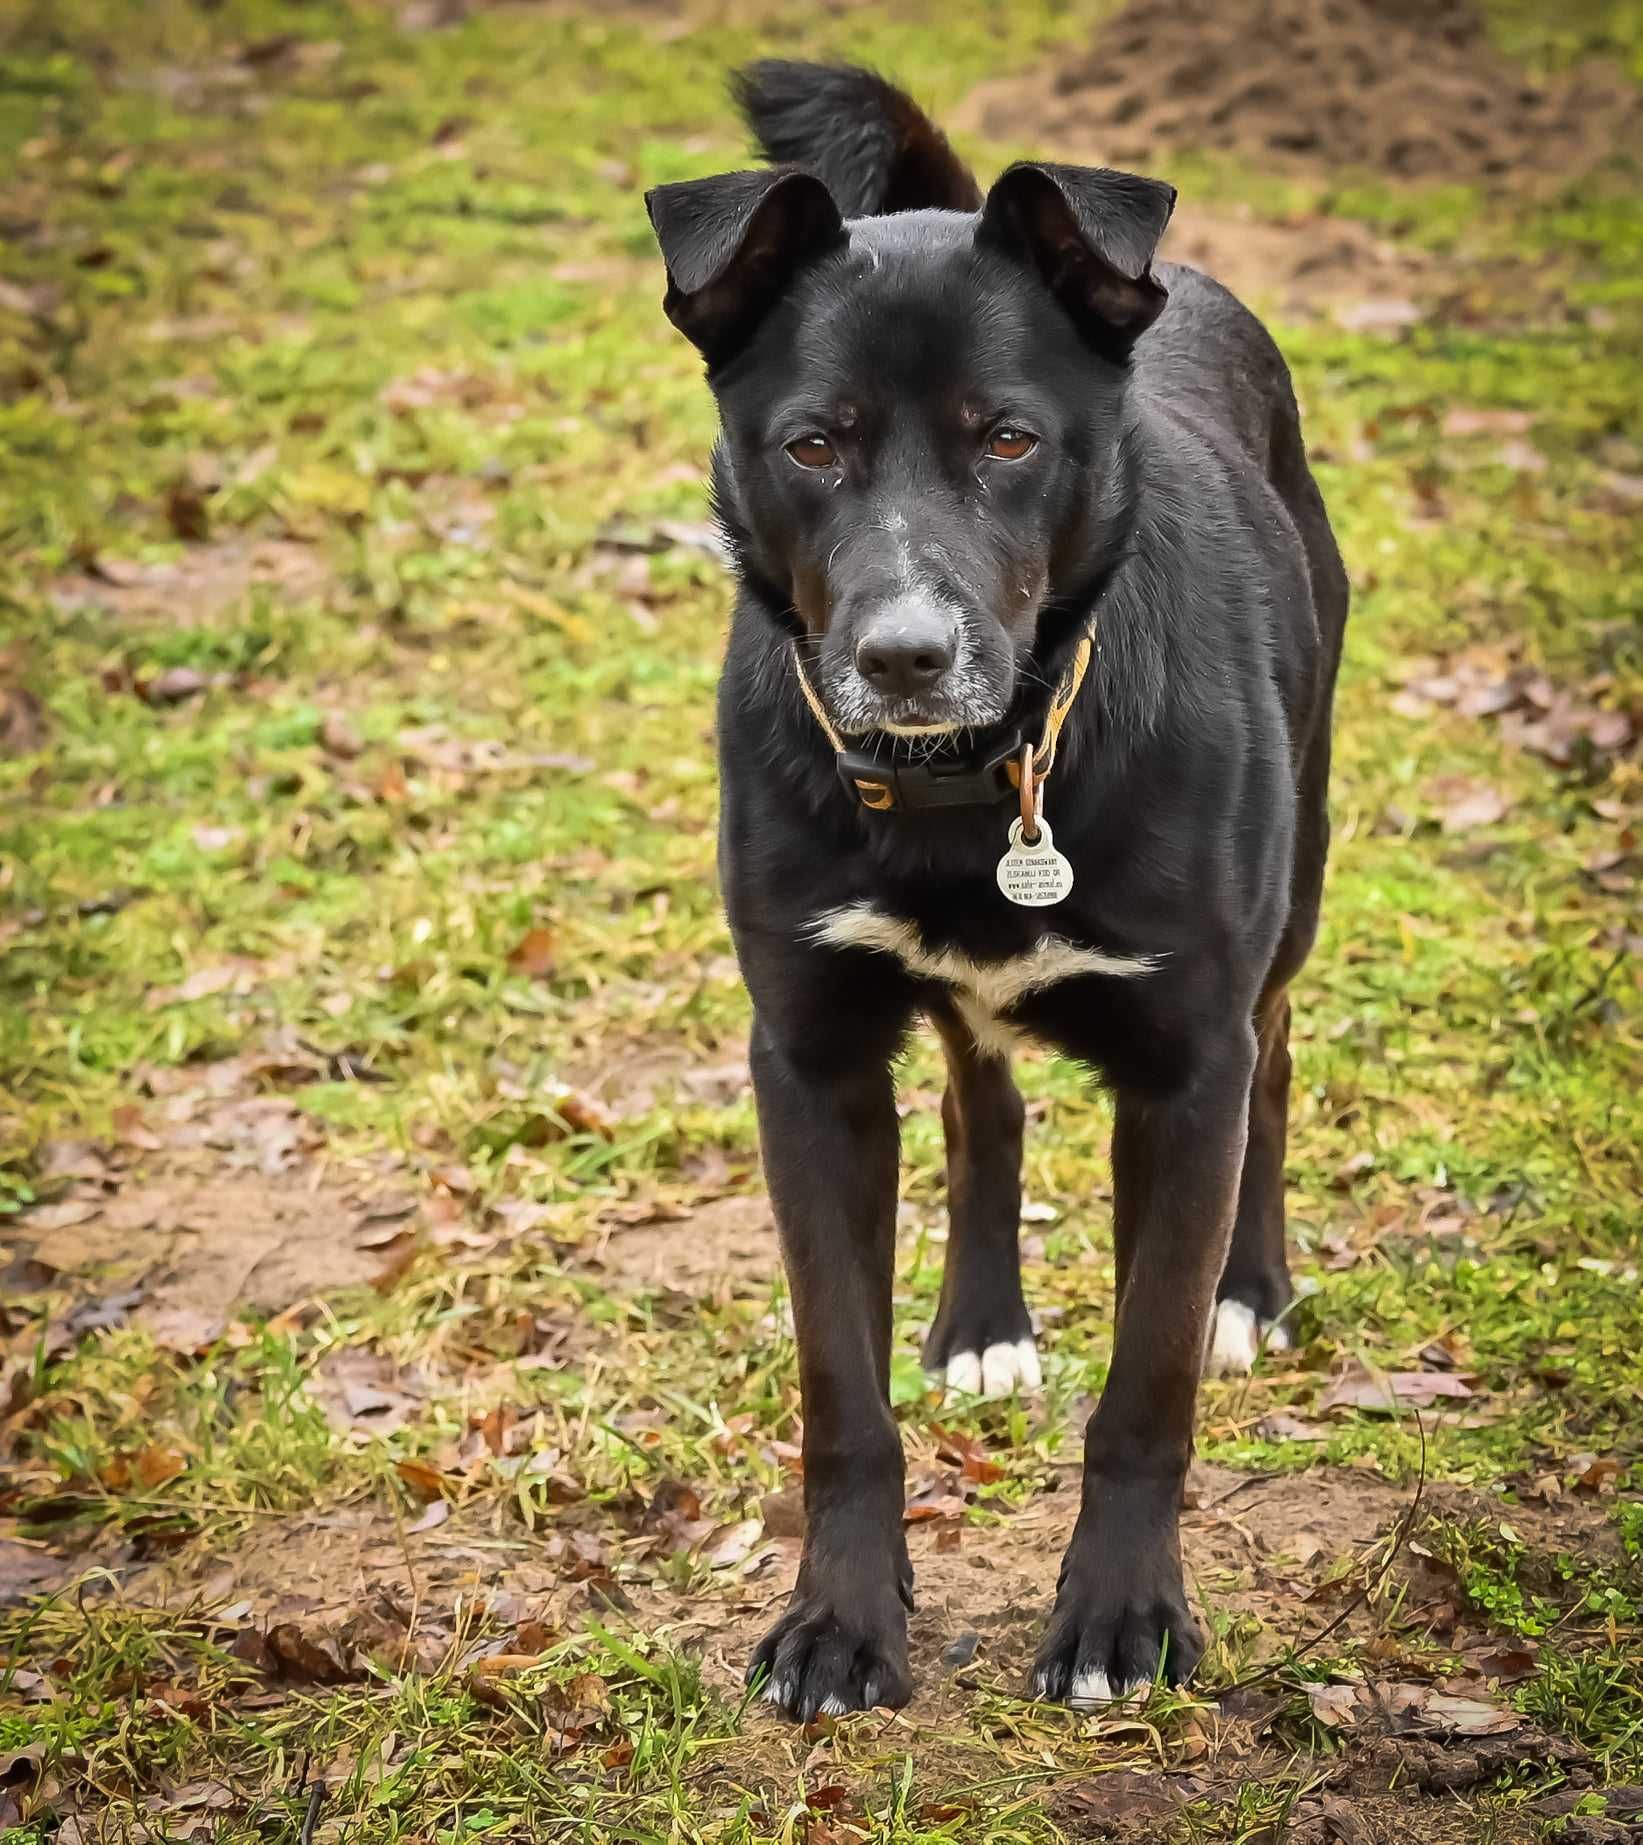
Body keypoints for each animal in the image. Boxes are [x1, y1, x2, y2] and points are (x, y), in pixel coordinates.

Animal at [645, 65, 1349, 1719]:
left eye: (1009, 440)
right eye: (812, 445)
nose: (904, 656)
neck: (976, 776)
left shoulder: (1184, 1064)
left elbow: (1145, 1383)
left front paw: (1121, 1617)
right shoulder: (808, 1061)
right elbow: (838, 1392)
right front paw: (837, 1619)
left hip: (1292, 894)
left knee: (1277, 1058)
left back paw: (1252, 1288)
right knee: (981, 1093)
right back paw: (979, 1323)